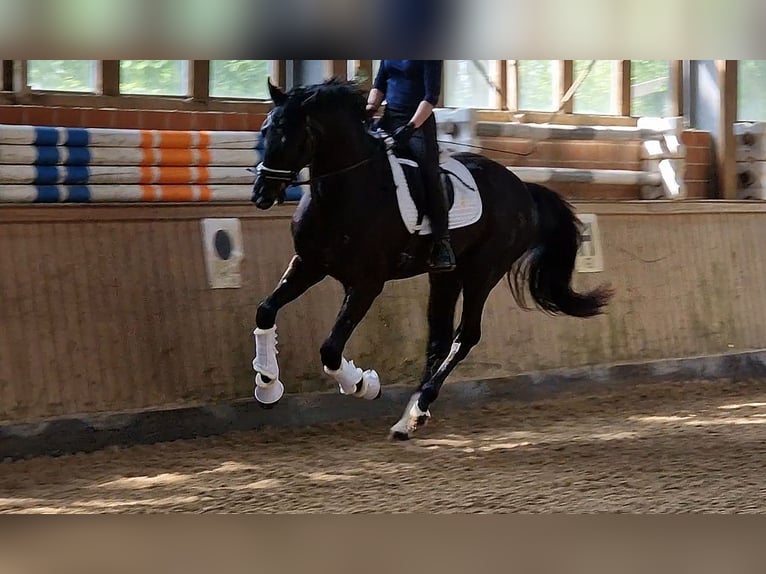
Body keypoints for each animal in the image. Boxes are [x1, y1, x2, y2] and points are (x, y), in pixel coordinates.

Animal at [255, 79, 616, 440]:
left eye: (287, 136)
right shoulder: (308, 264)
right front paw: (268, 384)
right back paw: (410, 417)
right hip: (445, 274)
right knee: (439, 339)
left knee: (465, 336)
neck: (346, 192)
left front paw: (364, 384)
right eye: (265, 130)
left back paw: (416, 410)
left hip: (483, 271)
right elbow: (266, 310)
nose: (261, 195)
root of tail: (522, 188)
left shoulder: (367, 284)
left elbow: (330, 349)